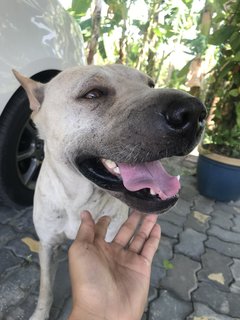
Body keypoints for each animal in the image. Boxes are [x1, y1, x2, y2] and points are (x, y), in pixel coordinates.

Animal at [13, 63, 205, 318]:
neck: (79, 201)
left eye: (150, 85)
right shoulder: (47, 245)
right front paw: (41, 313)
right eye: (93, 94)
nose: (194, 113)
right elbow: (46, 287)